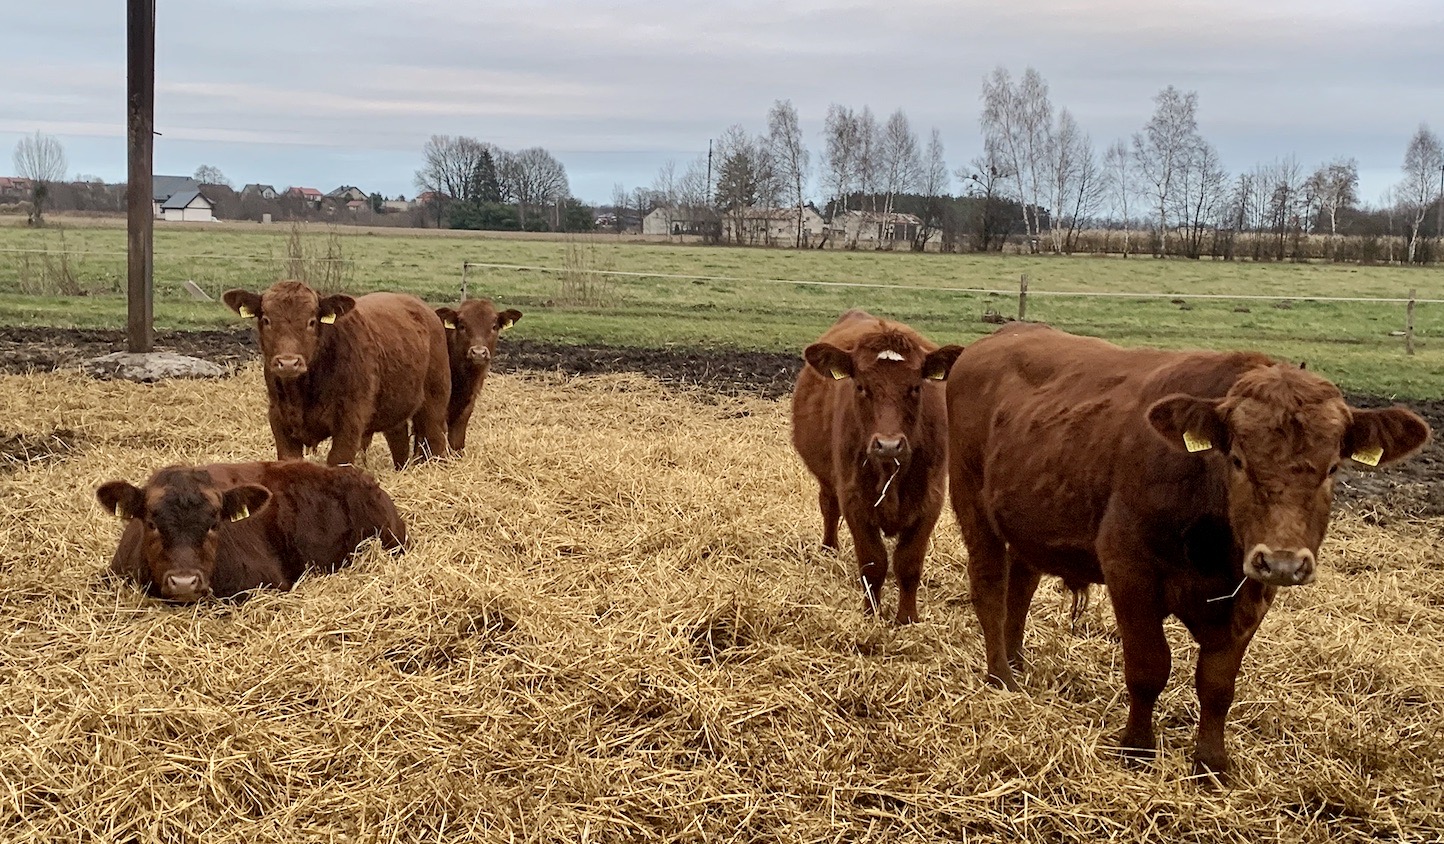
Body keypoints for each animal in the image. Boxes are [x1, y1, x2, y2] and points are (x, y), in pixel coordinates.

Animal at [222, 281, 450, 468]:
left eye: (312, 321)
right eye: (266, 320)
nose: (288, 363)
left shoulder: (350, 421)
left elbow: (338, 460)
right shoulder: (280, 419)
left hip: (435, 400)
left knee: (435, 438)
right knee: (399, 439)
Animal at [797, 307, 964, 618]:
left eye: (915, 388)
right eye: (861, 387)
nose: (888, 444)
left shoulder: (930, 501)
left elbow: (908, 564)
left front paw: (907, 618)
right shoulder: (854, 501)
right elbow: (873, 564)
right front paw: (871, 615)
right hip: (828, 479)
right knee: (828, 506)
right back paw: (829, 549)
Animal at [941, 320, 1426, 780]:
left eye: (1332, 468)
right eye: (1237, 460)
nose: (1283, 562)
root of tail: (993, 340)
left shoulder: (1251, 595)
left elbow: (1217, 685)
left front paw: (1211, 763)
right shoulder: (1129, 571)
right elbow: (1149, 668)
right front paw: (1137, 749)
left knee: (1019, 588)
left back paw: (1017, 663)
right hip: (973, 505)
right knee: (990, 590)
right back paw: (1000, 676)